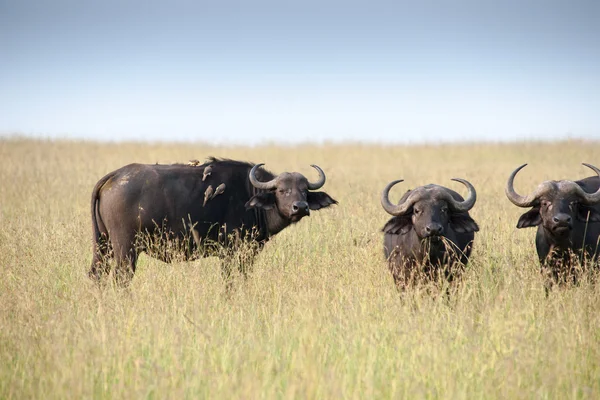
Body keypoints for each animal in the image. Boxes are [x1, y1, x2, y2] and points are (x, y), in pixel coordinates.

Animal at [88, 158, 338, 282]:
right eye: (282, 191)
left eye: (304, 190)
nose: (301, 207)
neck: (249, 194)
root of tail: (114, 176)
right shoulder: (230, 253)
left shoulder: (248, 255)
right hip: (125, 250)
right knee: (121, 278)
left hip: (103, 247)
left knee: (97, 276)